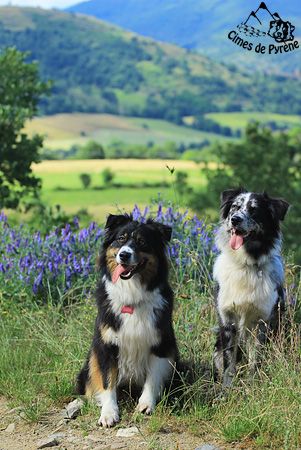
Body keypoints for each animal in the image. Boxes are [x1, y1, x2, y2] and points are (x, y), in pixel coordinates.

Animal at [77, 214, 178, 426]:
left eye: (142, 242)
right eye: (121, 239)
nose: (124, 255)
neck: (132, 294)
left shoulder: (161, 344)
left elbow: (152, 378)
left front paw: (146, 404)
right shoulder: (107, 346)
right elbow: (108, 381)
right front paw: (108, 413)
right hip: (91, 358)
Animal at [212, 188, 290, 384]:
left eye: (254, 210)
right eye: (235, 207)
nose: (235, 219)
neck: (246, 264)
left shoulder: (261, 322)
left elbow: (255, 360)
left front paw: (253, 385)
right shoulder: (227, 320)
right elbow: (228, 362)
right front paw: (227, 389)